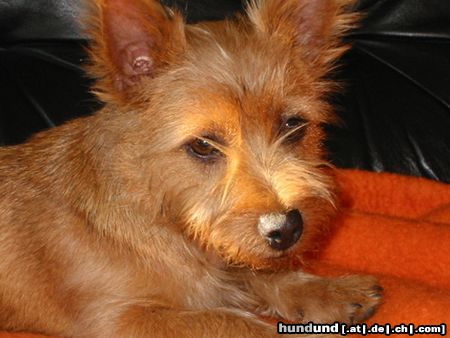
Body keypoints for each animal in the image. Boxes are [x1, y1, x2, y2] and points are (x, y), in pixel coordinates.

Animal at [0, 1, 384, 336]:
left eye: (294, 126)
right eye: (202, 145)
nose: (287, 228)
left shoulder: (227, 250)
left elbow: (262, 273)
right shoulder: (117, 318)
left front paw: (332, 292)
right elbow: (228, 321)